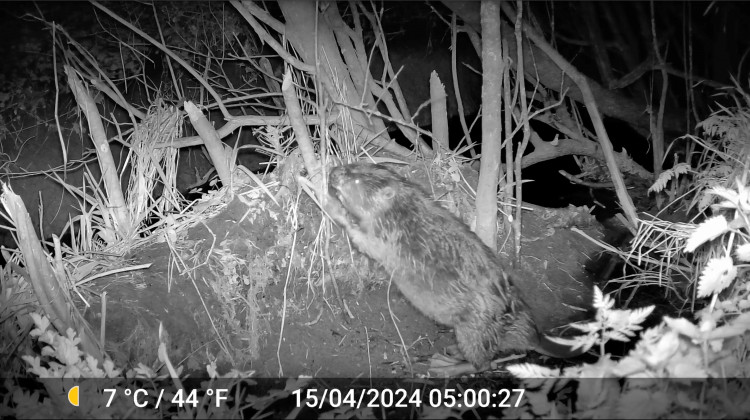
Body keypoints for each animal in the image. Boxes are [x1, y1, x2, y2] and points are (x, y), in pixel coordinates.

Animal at [324, 163, 580, 370]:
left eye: (358, 179)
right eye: (353, 164)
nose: (333, 172)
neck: (403, 209)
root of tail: (533, 337)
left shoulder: (385, 235)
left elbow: (361, 239)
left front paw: (328, 202)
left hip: (472, 330)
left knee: (483, 364)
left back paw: (445, 364)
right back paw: (452, 352)